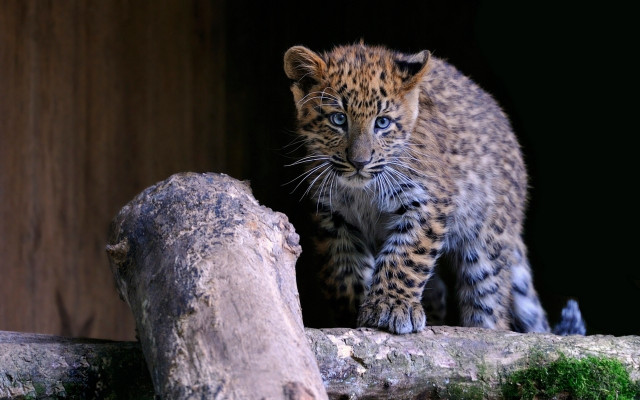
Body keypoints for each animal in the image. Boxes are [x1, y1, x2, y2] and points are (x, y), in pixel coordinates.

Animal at [283, 42, 585, 335]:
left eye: (382, 122)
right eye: (338, 119)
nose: (359, 162)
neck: (363, 191)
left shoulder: (427, 202)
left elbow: (405, 258)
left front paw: (392, 306)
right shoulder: (333, 215)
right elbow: (344, 271)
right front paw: (355, 310)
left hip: (486, 243)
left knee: (490, 303)